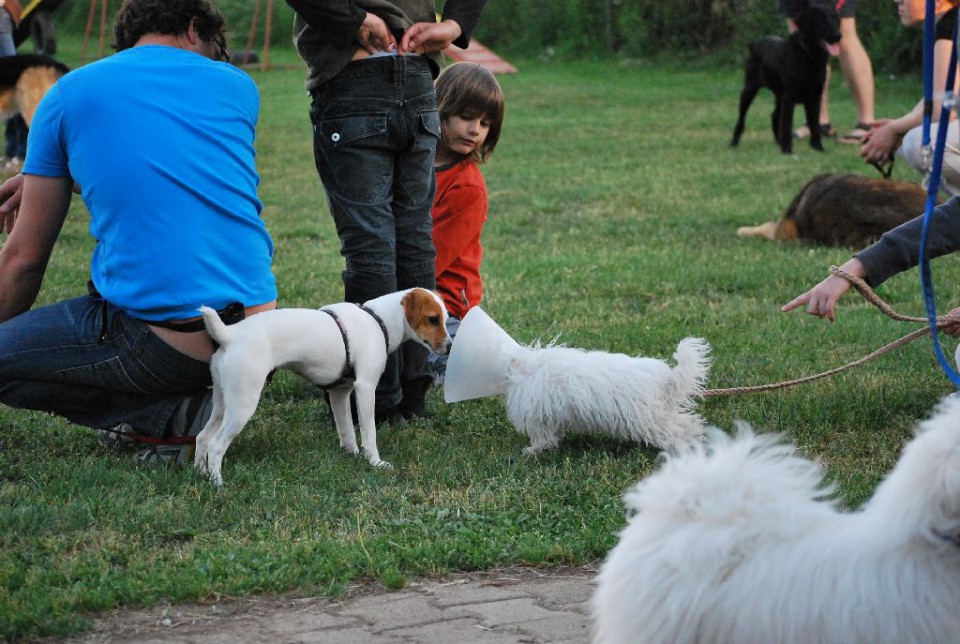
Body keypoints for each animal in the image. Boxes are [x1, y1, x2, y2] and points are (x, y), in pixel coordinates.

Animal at [197, 290, 452, 486]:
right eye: (432, 319)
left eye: (445, 318)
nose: (450, 346)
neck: (378, 319)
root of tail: (231, 335)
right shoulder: (365, 387)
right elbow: (369, 432)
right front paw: (374, 462)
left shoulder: (339, 393)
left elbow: (347, 430)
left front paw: (352, 456)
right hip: (243, 404)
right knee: (216, 444)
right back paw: (217, 484)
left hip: (223, 404)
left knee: (202, 438)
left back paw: (200, 474)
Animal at [506, 338, 708, 452]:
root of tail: (665, 380)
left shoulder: (536, 415)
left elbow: (541, 437)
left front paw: (533, 450)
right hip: (658, 414)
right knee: (686, 423)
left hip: (646, 419)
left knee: (674, 431)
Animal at [732, 0, 836, 155]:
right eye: (821, 21)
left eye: (836, 19)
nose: (837, 35)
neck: (809, 55)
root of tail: (754, 44)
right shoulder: (789, 97)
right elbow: (787, 124)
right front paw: (787, 149)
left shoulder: (815, 96)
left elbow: (814, 124)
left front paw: (817, 147)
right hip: (749, 89)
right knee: (741, 118)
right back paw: (734, 142)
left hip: (778, 95)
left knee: (774, 115)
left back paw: (778, 141)